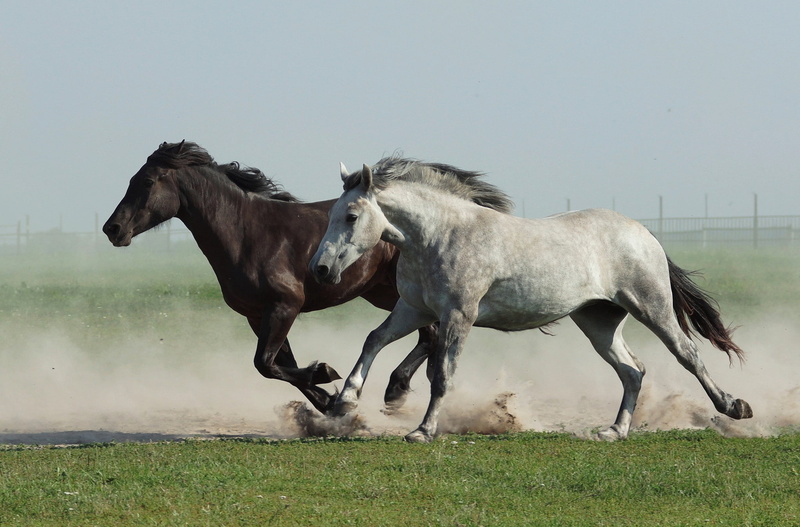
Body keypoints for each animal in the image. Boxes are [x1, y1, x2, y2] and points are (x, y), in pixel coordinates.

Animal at [103, 141, 437, 415]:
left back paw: (397, 389)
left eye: (147, 181)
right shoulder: (258, 315)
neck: (247, 234)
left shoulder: (284, 306)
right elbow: (279, 364)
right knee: (428, 333)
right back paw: (397, 389)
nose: (113, 229)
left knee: (430, 332)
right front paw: (328, 402)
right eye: (132, 180)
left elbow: (265, 363)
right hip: (384, 293)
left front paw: (324, 374)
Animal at [309, 157, 752, 443]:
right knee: (632, 371)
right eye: (331, 214)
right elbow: (373, 340)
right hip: (599, 321)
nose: (321, 270)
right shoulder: (413, 310)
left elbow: (441, 373)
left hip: (652, 307)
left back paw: (734, 407)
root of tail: (643, 232)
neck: (439, 236)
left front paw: (422, 431)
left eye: (351, 216)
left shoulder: (458, 315)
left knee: (687, 354)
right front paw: (343, 401)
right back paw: (614, 431)